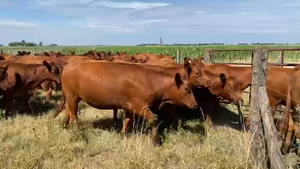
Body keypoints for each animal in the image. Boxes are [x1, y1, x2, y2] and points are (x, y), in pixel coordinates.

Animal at [53, 61, 199, 146]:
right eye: (187, 89)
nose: (195, 104)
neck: (151, 81)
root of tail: (70, 64)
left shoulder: (130, 106)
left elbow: (128, 120)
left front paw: (123, 135)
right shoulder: (140, 106)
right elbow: (153, 119)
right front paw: (156, 141)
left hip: (74, 97)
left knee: (68, 111)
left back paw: (64, 125)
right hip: (72, 96)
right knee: (74, 115)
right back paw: (78, 132)